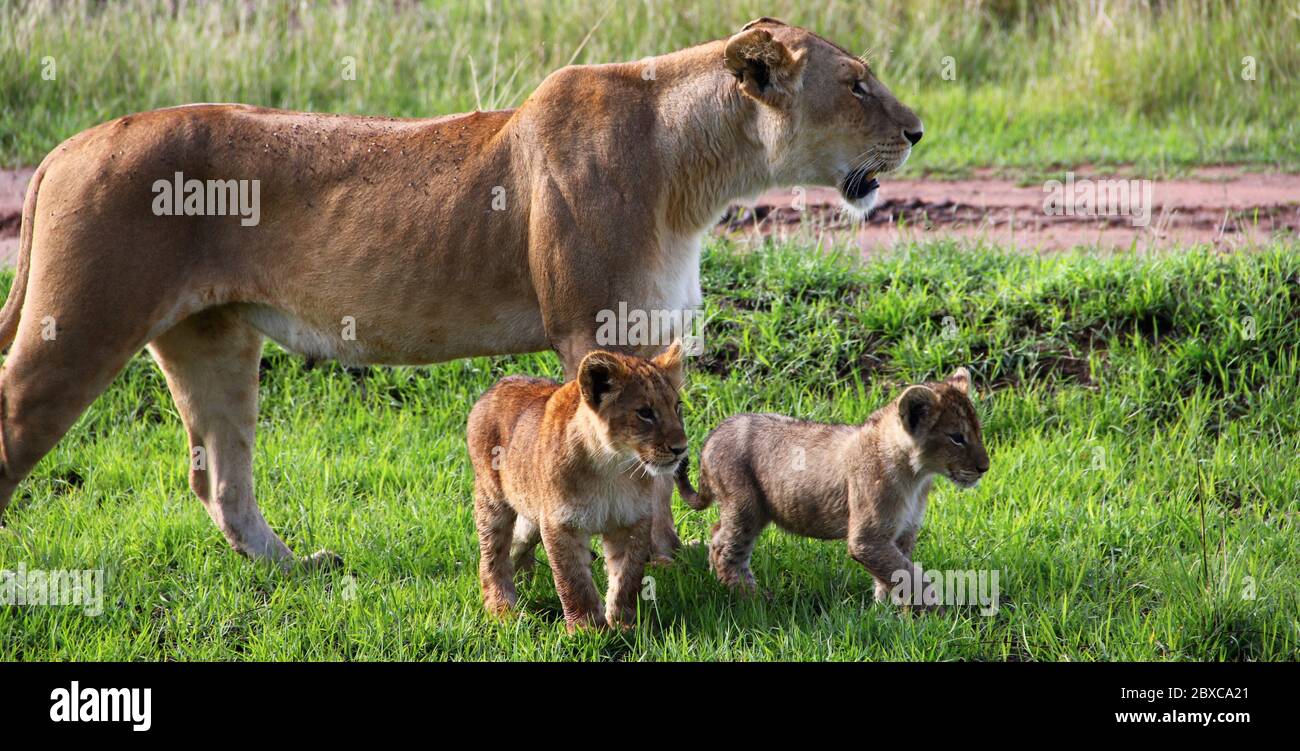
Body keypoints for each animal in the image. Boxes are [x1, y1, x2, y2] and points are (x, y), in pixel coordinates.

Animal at [0, 16, 925, 566]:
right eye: (855, 84)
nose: (918, 131)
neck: (699, 172)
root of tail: (65, 148)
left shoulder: (653, 330)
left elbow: (665, 457)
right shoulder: (597, 329)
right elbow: (633, 459)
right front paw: (650, 570)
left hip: (214, 338)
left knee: (219, 481)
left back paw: (297, 569)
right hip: (75, 327)